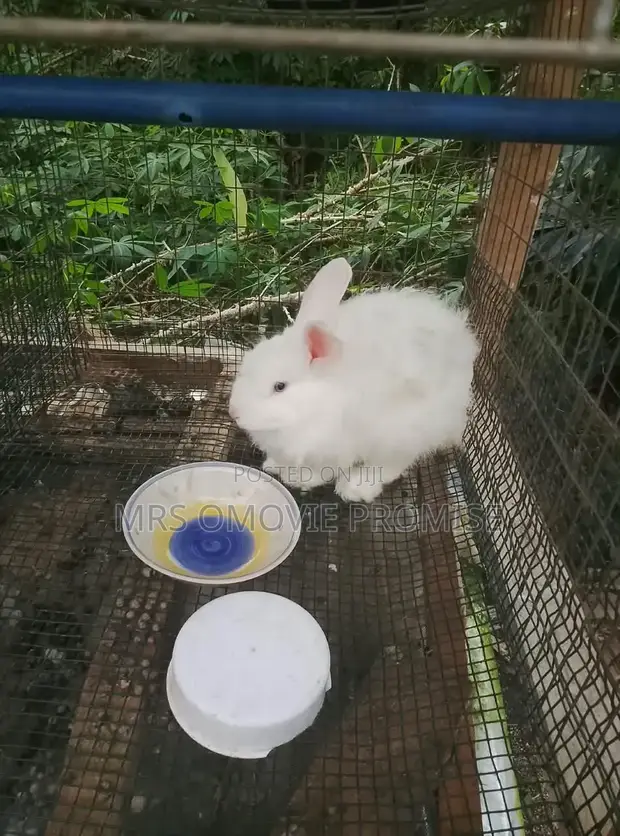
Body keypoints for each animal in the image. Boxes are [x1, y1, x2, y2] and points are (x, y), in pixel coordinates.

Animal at [228, 257, 479, 503]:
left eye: (280, 386)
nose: (234, 412)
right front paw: (275, 465)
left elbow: (328, 470)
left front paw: (300, 478)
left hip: (407, 431)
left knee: (391, 464)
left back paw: (356, 487)